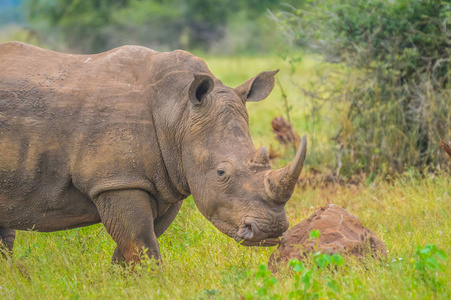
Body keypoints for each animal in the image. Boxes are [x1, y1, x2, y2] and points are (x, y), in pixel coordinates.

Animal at [0, 41, 308, 262]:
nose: (270, 230)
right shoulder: (118, 181)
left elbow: (138, 245)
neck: (178, 112)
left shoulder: (167, 182)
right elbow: (142, 244)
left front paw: (122, 283)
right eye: (221, 172)